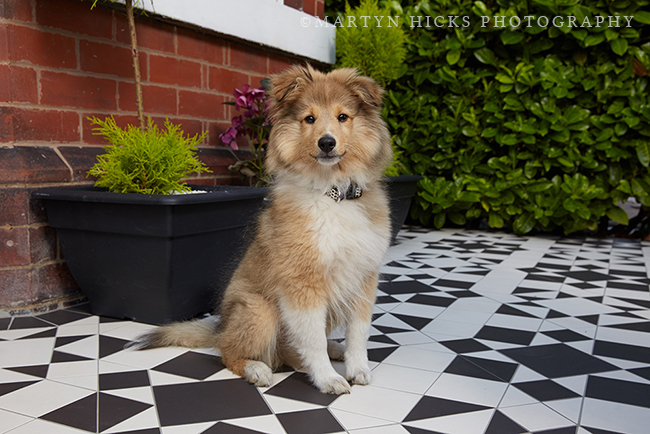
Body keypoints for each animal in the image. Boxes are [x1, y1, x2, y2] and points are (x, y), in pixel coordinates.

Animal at [129, 64, 388, 394]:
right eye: (309, 119)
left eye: (343, 117)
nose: (327, 143)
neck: (332, 193)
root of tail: (220, 328)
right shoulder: (302, 283)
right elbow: (313, 339)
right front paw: (328, 379)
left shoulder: (363, 278)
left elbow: (359, 332)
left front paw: (358, 369)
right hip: (259, 309)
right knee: (231, 352)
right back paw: (257, 369)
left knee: (289, 350)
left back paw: (332, 350)